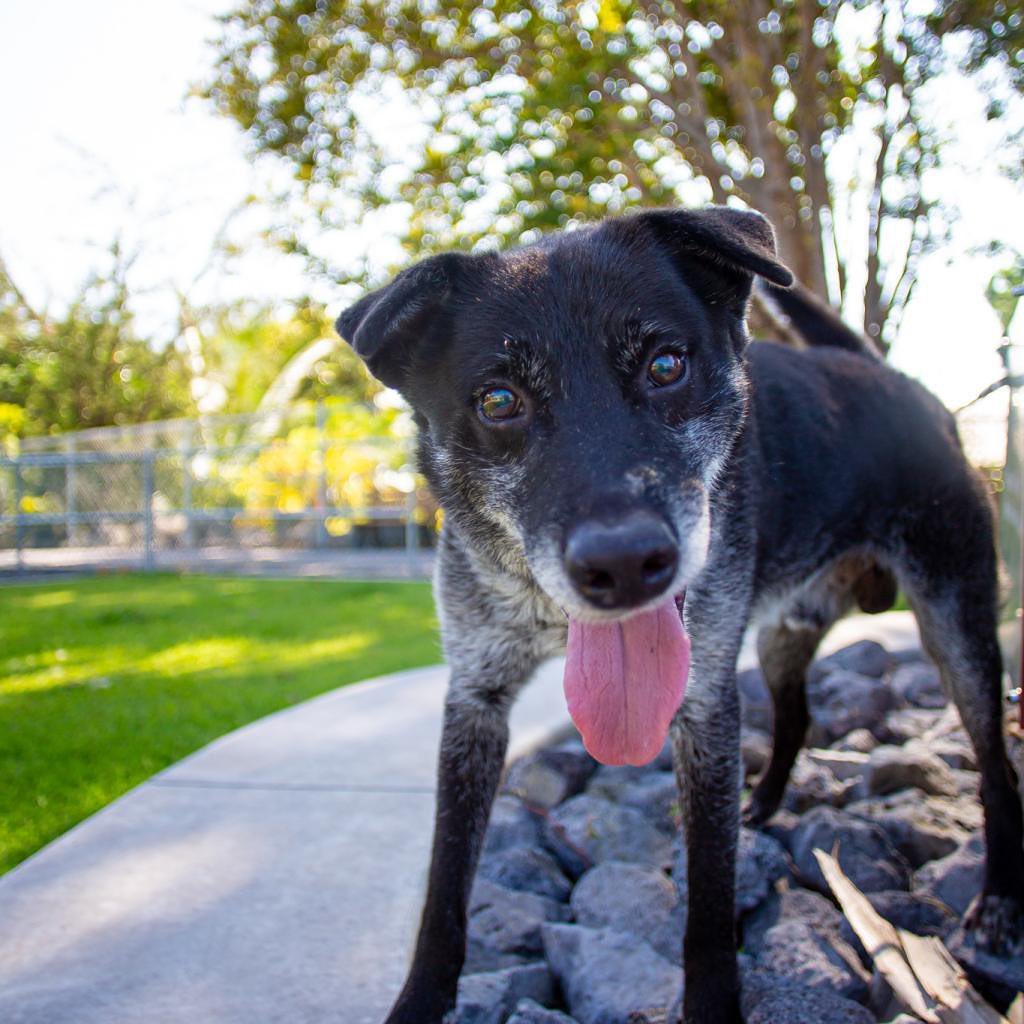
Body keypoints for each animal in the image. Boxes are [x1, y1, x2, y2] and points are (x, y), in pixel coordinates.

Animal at [337, 207, 1024, 1024]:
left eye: (666, 366)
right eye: (498, 400)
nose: (625, 562)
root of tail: (900, 384)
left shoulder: (703, 704)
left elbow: (708, 901)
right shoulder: (475, 699)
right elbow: (444, 886)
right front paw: (418, 1001)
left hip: (956, 626)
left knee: (995, 763)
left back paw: (998, 900)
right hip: (785, 631)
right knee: (797, 715)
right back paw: (763, 805)